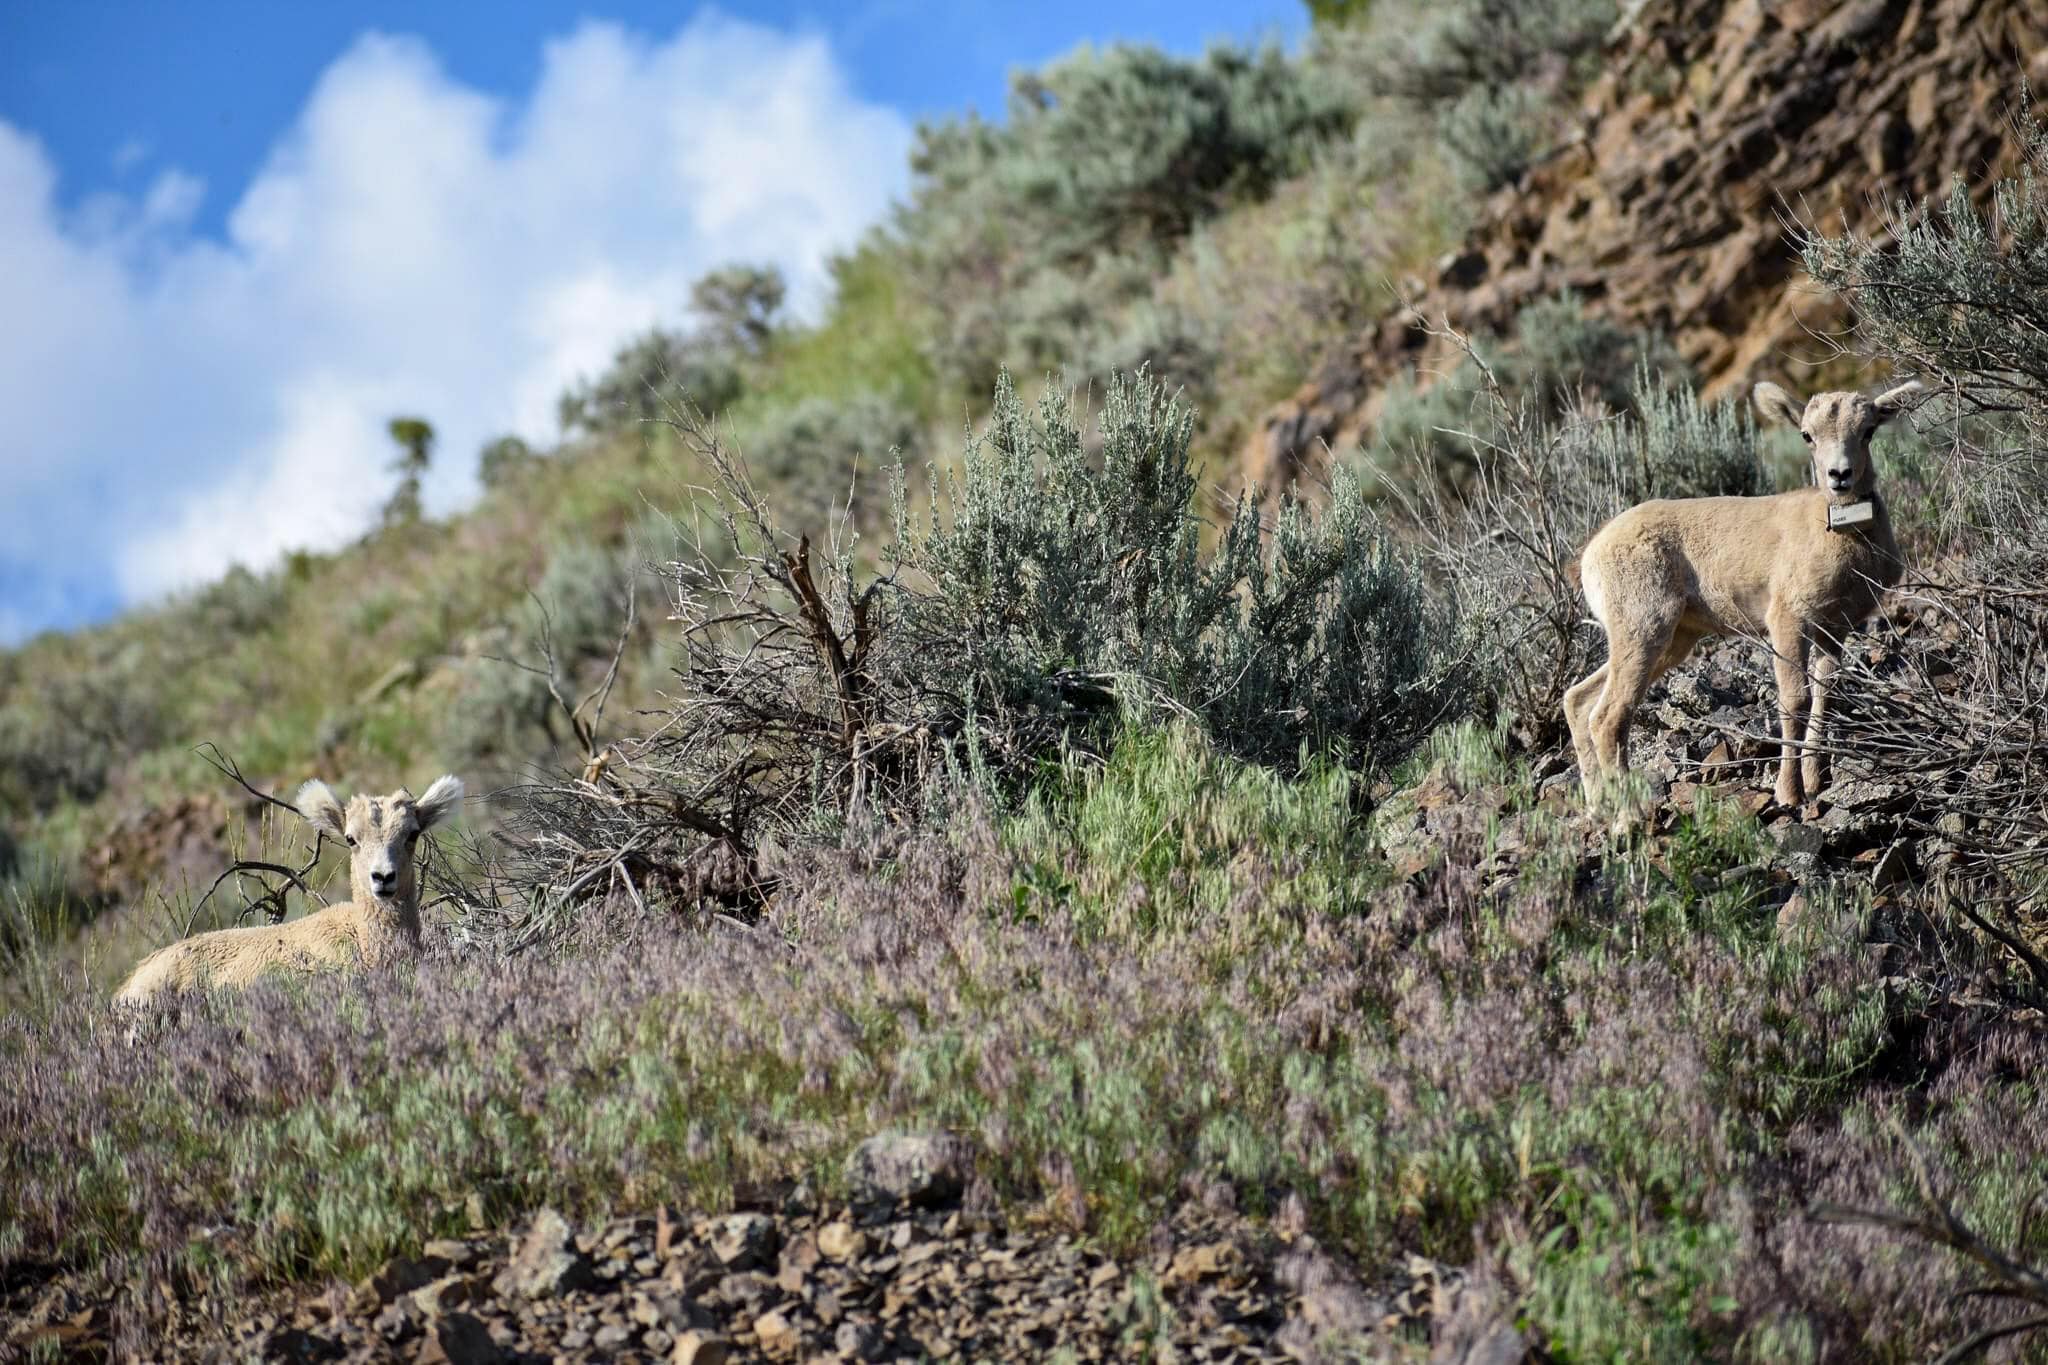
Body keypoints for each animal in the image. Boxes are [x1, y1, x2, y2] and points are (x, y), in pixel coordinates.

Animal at [1564, 380, 1923, 815]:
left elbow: (1824, 698)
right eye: (1807, 435)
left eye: (1868, 431)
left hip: (1668, 641)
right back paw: (1628, 820)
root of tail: (1591, 555)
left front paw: (1814, 783)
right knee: (1609, 717)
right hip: (1643, 630)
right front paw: (1789, 794)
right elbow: (1795, 701)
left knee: (1579, 701)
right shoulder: (1788, 622)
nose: (1840, 475)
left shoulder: (1833, 629)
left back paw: (1599, 808)